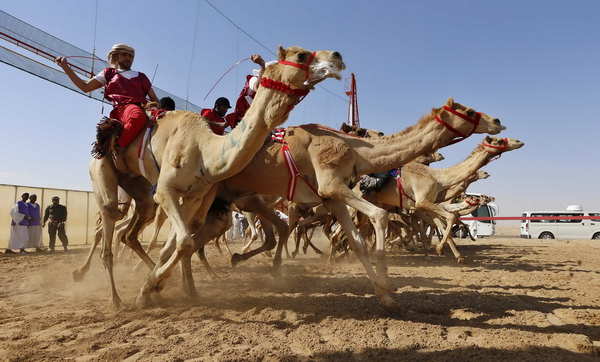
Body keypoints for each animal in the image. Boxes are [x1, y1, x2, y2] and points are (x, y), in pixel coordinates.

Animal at [86, 46, 344, 308]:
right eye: (301, 55)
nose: (337, 57)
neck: (204, 150)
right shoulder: (169, 191)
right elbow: (185, 241)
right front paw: (153, 289)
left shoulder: (197, 196)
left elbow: (180, 243)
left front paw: (162, 287)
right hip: (105, 171)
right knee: (111, 221)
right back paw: (112, 296)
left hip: (141, 189)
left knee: (133, 230)